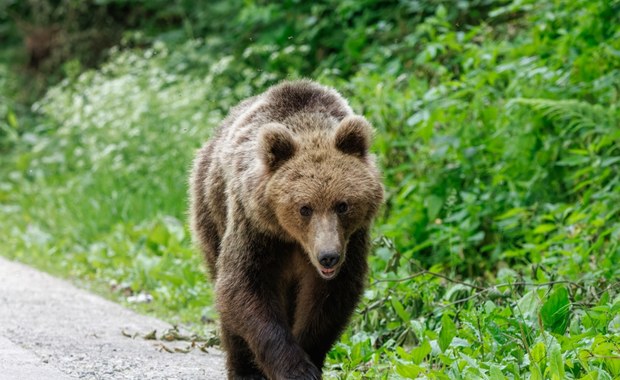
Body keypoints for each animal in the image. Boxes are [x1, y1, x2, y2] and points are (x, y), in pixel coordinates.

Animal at [189, 78, 382, 378]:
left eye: (342, 205)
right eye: (305, 207)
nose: (328, 256)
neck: (293, 240)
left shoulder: (352, 240)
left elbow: (329, 300)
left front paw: (309, 356)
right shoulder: (255, 228)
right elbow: (243, 285)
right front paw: (295, 368)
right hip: (211, 211)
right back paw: (243, 368)